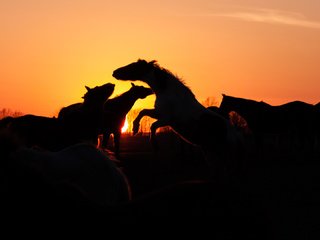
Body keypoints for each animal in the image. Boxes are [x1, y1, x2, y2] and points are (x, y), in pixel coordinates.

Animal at [112, 59, 240, 177]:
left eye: (133, 66)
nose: (115, 72)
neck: (169, 92)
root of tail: (236, 135)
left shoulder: (167, 119)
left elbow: (153, 125)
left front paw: (155, 144)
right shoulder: (159, 113)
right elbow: (142, 112)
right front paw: (135, 129)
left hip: (221, 153)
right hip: (210, 152)